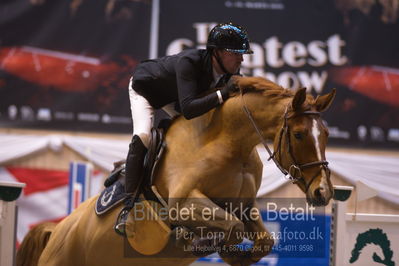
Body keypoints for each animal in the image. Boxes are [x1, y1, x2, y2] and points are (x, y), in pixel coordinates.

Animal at [16, 76, 334, 264]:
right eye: (299, 135)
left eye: (327, 134)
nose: (323, 192)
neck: (230, 144)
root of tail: (56, 230)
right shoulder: (182, 205)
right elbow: (232, 227)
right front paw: (202, 243)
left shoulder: (244, 205)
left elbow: (262, 239)